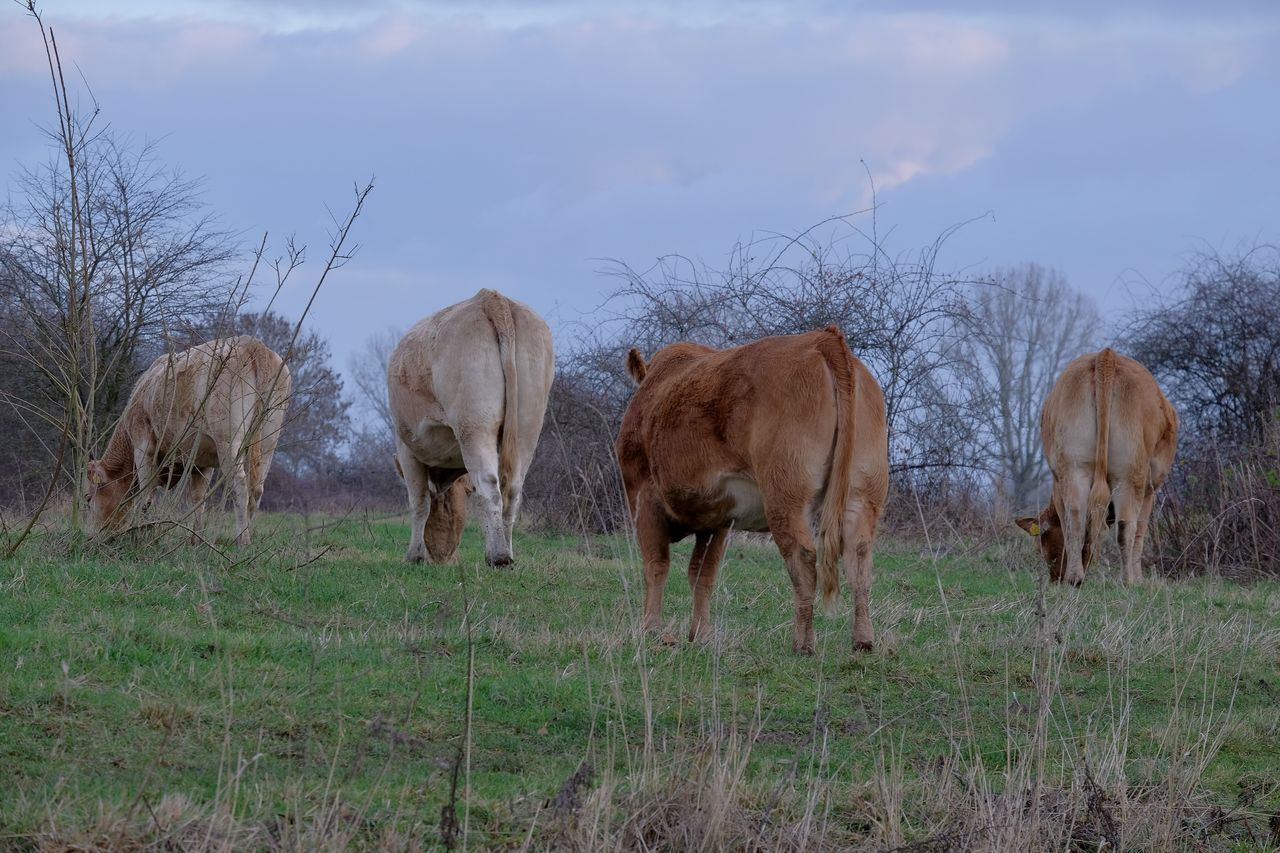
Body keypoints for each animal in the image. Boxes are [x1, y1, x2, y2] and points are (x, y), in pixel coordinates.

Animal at [86, 333, 291, 545]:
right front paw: (195, 539)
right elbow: (197, 497)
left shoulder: (143, 446)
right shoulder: (203, 461)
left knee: (240, 486)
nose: (92, 534)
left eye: (88, 499)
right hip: (268, 440)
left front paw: (140, 533)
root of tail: (252, 344)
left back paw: (242, 540)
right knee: (256, 489)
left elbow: (146, 495)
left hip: (228, 440)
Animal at [386, 286, 552, 563]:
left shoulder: (407, 449)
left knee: (489, 487)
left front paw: (414, 556)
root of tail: (490, 298)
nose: (444, 558)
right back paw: (505, 551)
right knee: (512, 491)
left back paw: (499, 557)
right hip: (528, 425)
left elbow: (419, 502)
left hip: (473, 425)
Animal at [619, 324, 890, 650]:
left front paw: (652, 631)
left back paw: (803, 643)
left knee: (802, 555)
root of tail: (822, 338)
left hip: (785, 493)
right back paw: (863, 640)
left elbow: (656, 565)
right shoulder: (718, 518)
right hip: (862, 493)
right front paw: (701, 634)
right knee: (858, 557)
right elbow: (702, 573)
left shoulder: (642, 495)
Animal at [1018, 348, 1177, 581]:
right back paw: (1129, 581)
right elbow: (1140, 531)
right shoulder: (1151, 489)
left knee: (1075, 519)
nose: (1055, 578)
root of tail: (1105, 356)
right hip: (1131, 474)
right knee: (1126, 527)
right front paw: (1140, 579)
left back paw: (1075, 578)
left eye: (1041, 546)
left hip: (1075, 465)